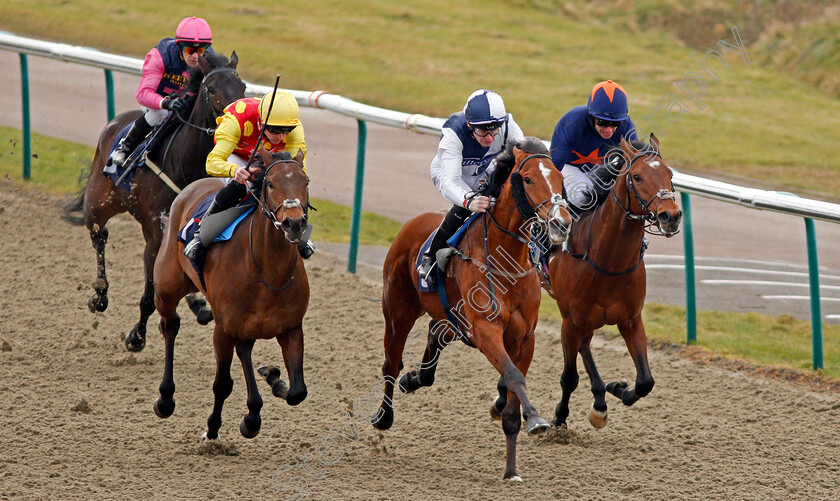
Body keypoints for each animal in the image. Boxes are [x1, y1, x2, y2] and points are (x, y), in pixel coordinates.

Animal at [61, 49, 246, 348]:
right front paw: (136, 336)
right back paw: (99, 295)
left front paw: (198, 305)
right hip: (99, 201)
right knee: (99, 235)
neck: (186, 164)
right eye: (211, 89)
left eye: (243, 87)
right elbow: (149, 296)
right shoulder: (155, 237)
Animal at [153, 147, 310, 438]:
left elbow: (297, 391)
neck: (268, 273)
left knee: (244, 348)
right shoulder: (223, 330)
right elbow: (222, 384)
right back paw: (165, 398)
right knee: (170, 325)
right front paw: (213, 429)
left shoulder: (292, 328)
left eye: (305, 182)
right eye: (271, 184)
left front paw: (273, 382)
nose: (294, 224)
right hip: (167, 288)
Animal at [372, 138, 576, 480]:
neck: (506, 260)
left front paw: (511, 470)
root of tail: (411, 224)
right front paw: (536, 419)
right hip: (399, 311)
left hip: (451, 318)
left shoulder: (525, 337)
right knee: (391, 363)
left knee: (435, 335)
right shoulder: (484, 329)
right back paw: (383, 416)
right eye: (529, 179)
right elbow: (514, 378)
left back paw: (413, 379)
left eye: (560, 179)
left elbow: (510, 394)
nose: (561, 223)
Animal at [548, 134, 680, 430]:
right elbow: (569, 377)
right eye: (637, 177)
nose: (671, 216)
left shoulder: (631, 319)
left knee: (586, 345)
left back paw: (600, 400)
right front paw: (559, 417)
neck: (608, 263)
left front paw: (616, 388)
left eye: (670, 175)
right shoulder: (569, 322)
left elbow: (645, 381)